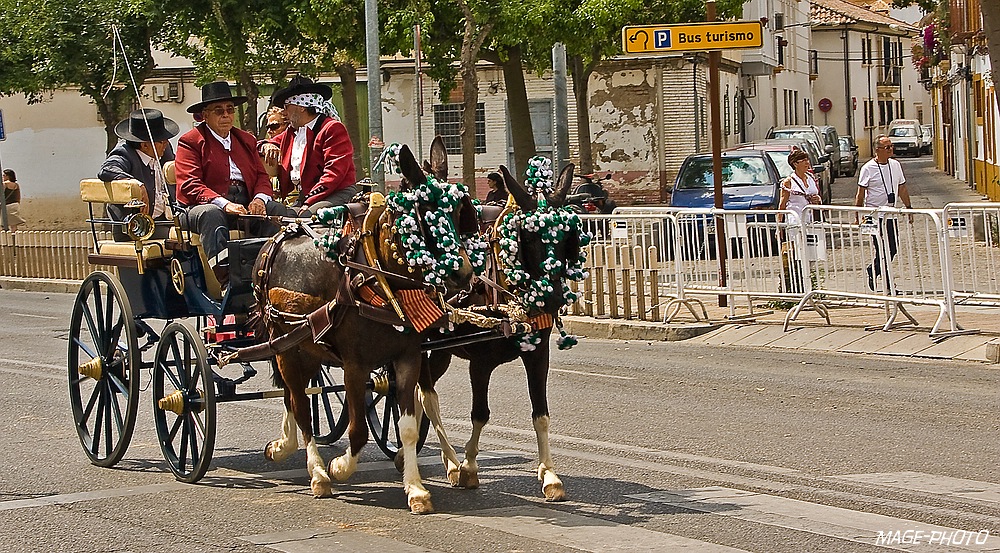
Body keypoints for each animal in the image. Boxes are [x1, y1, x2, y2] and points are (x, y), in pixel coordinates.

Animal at [258, 138, 476, 512]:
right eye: (424, 212)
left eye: (460, 211)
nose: (463, 273)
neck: (377, 276)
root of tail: (279, 235)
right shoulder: (354, 365)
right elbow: (358, 428)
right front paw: (340, 466)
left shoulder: (408, 358)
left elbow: (407, 426)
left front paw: (415, 488)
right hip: (284, 345)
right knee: (300, 404)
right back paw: (317, 472)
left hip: (306, 348)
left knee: (291, 395)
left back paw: (285, 446)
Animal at [420, 160, 588, 500]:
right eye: (527, 238)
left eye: (567, 238)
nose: (552, 299)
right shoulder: (480, 363)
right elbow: (480, 413)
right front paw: (470, 467)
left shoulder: (538, 354)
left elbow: (541, 413)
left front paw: (550, 475)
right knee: (425, 395)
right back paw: (453, 463)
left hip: (442, 351)